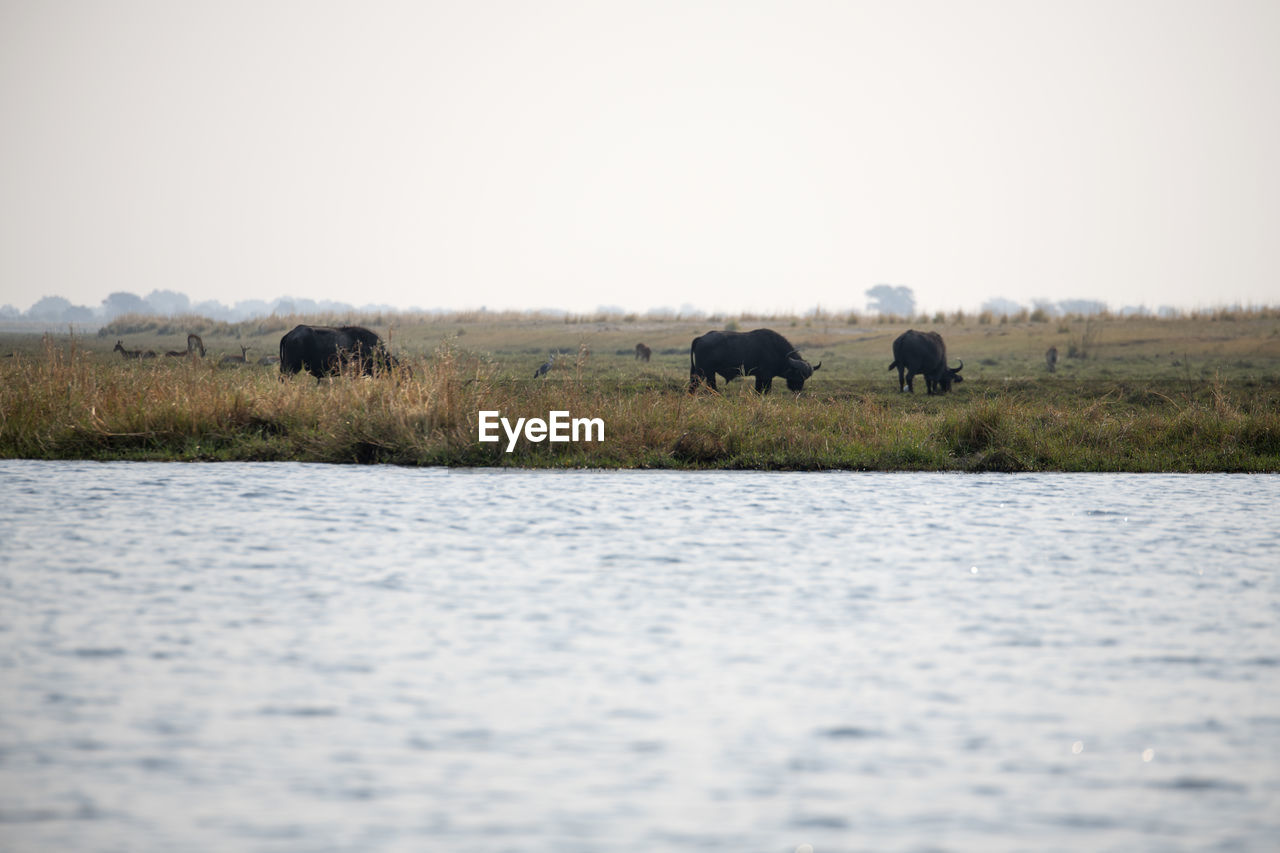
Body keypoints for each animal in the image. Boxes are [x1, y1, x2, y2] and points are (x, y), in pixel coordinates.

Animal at [691, 326, 819, 394]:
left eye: (805, 377)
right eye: (798, 374)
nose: (797, 389)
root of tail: (701, 338)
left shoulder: (759, 377)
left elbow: (758, 391)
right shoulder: (766, 377)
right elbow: (765, 391)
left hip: (706, 373)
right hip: (704, 372)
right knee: (701, 385)